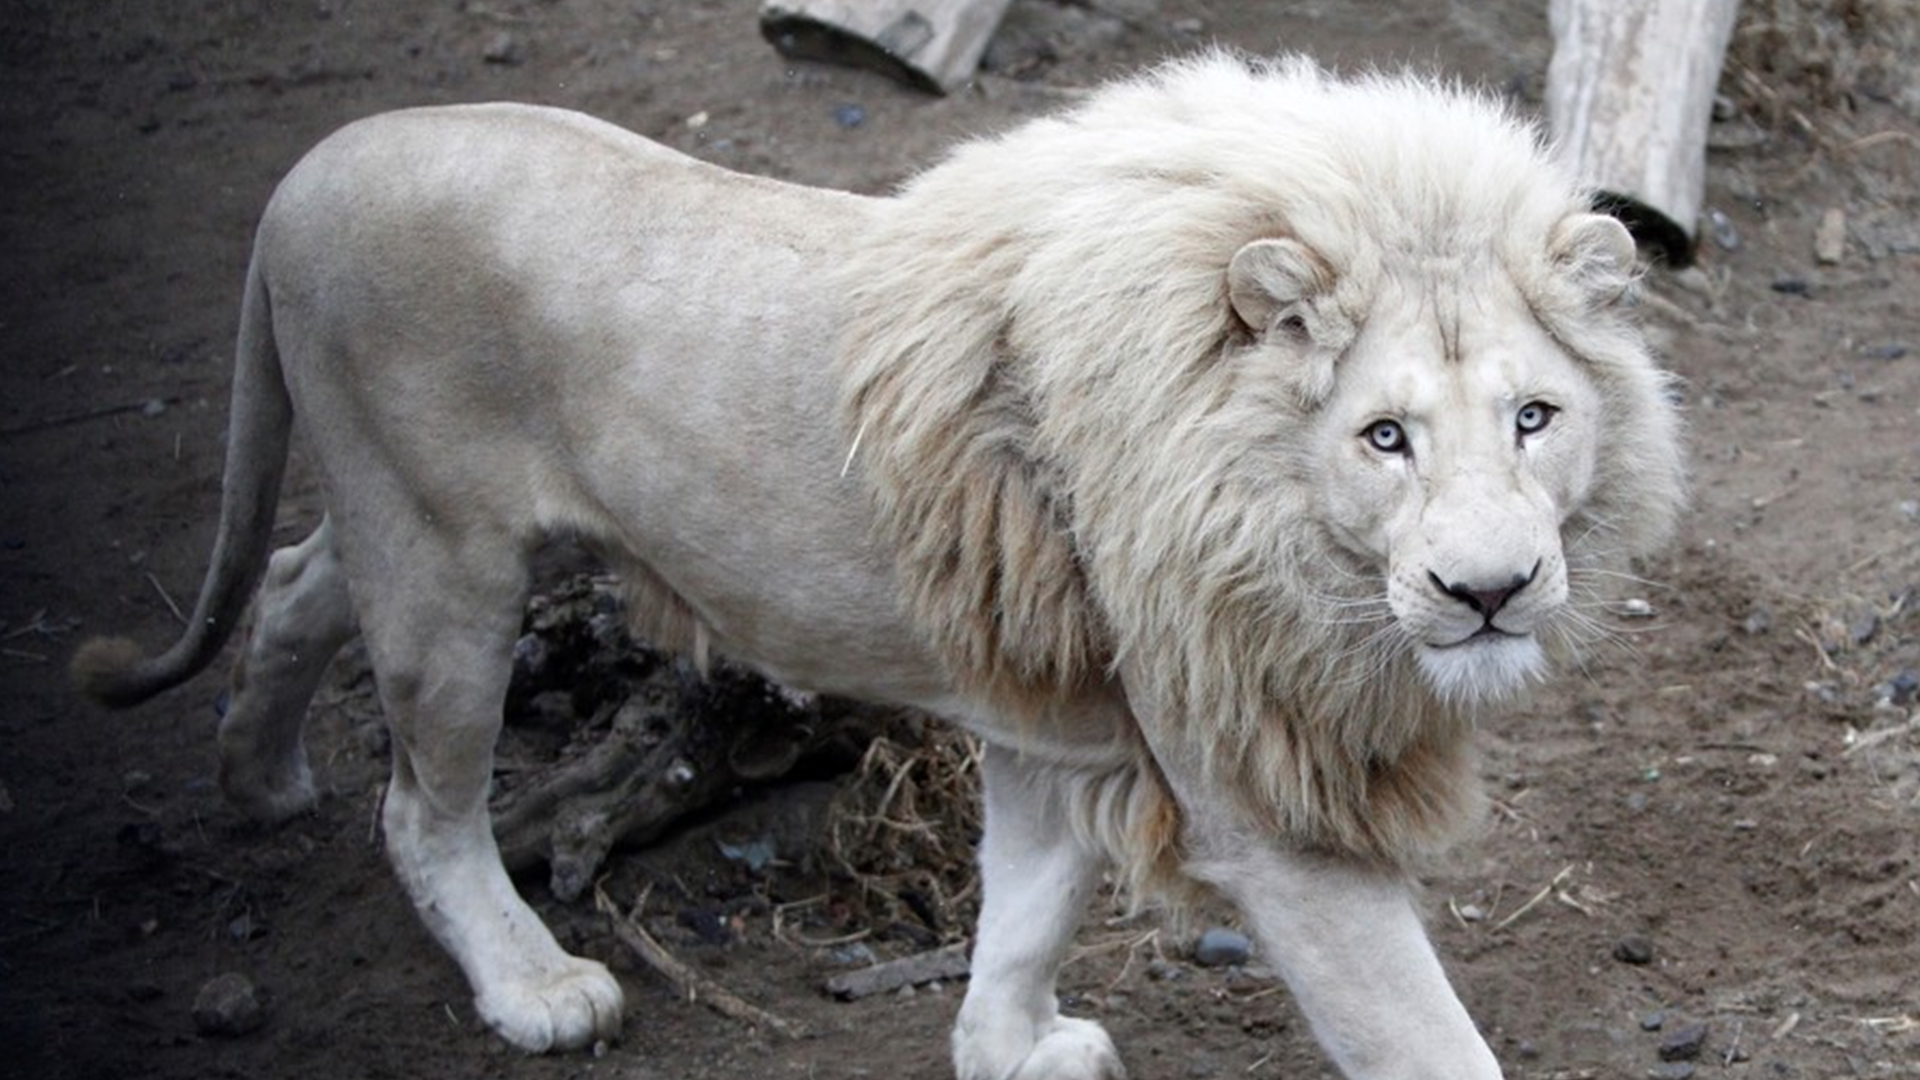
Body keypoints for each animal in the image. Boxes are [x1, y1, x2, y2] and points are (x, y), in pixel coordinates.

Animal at [74, 52, 1681, 1076]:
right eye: (1385, 437)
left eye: (1534, 419)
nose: (1491, 591)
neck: (1275, 513)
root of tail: (312, 166)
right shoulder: (1259, 793)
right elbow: (1427, 1039)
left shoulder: (1058, 709)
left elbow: (1027, 906)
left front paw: (1008, 1047)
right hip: (445, 570)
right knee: (420, 804)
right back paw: (534, 984)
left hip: (406, 524)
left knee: (292, 582)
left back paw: (258, 772)